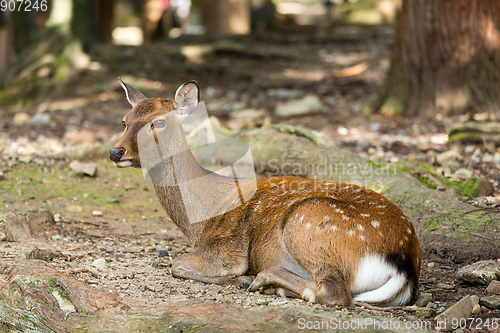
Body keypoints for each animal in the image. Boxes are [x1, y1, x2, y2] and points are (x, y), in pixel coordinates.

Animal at [110, 78, 422, 306]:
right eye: (124, 120)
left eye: (159, 122)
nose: (115, 151)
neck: (198, 220)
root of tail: (405, 262)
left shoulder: (227, 247)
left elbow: (177, 264)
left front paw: (239, 279)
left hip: (307, 220)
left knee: (335, 293)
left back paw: (261, 280)